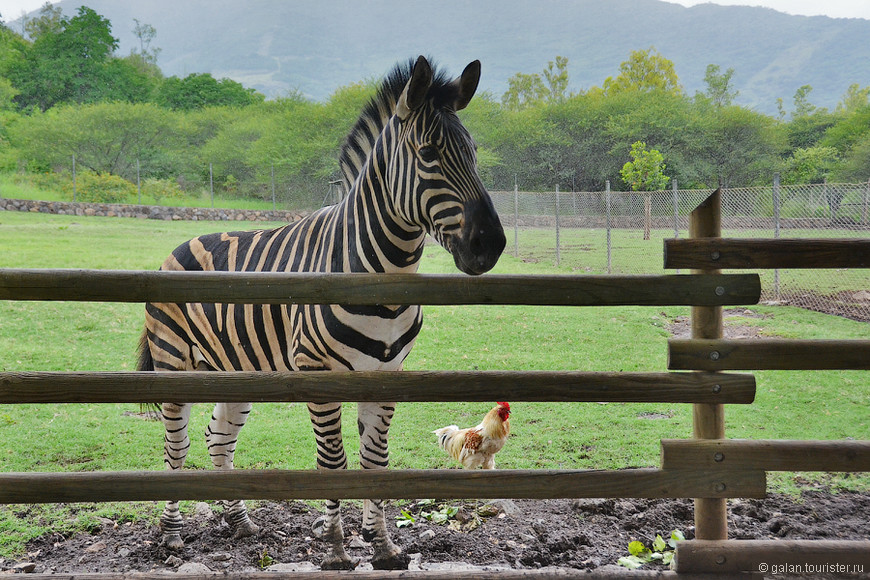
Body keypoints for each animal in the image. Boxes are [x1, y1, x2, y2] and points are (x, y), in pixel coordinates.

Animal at [136, 56, 504, 568]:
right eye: (428, 153)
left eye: (473, 152)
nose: (491, 245)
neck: (380, 273)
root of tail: (180, 244)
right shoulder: (318, 370)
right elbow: (333, 462)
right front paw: (334, 547)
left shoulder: (388, 372)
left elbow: (375, 461)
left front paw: (382, 545)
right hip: (175, 363)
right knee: (178, 444)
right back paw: (171, 535)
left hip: (234, 369)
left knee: (219, 438)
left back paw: (240, 523)